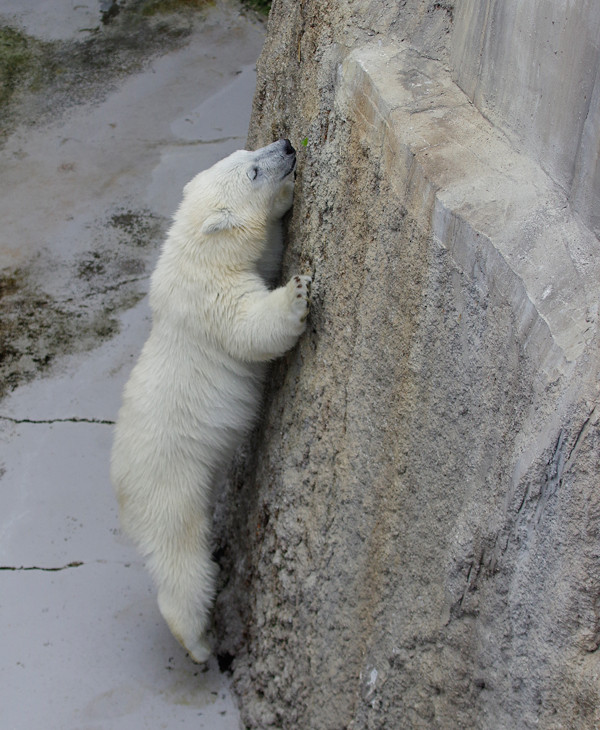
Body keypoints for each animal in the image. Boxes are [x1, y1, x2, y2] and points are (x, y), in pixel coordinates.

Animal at [109, 139, 312, 664]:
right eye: (254, 170)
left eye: (249, 152)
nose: (287, 144)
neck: (193, 253)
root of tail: (121, 495)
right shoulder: (211, 302)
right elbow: (252, 329)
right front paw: (298, 291)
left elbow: (267, 256)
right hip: (170, 490)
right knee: (183, 566)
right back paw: (198, 643)